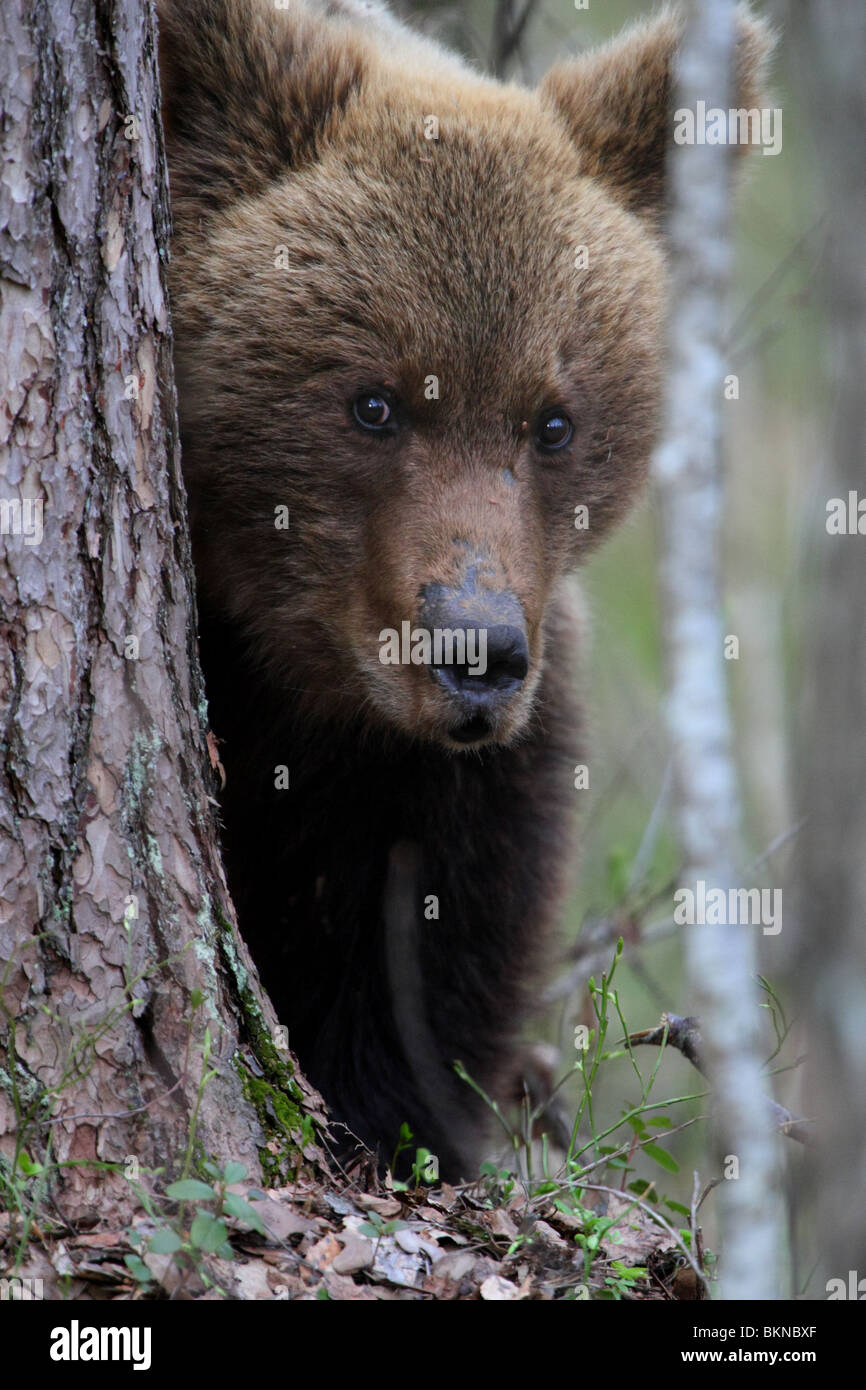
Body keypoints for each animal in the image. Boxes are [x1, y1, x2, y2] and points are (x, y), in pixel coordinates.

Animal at [159, 0, 767, 1178]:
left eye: (553, 421)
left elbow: (432, 958)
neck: (304, 676)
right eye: (374, 401)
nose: (471, 650)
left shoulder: (455, 774)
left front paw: (395, 1124)